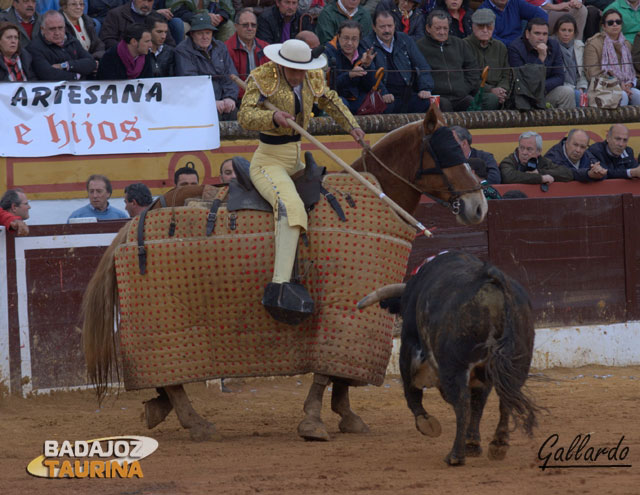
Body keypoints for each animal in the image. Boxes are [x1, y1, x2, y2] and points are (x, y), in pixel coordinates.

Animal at [82, 105, 488, 442]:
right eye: (447, 152)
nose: (479, 206)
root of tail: (141, 217)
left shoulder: (356, 312)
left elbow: (341, 371)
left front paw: (347, 415)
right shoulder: (341, 310)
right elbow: (325, 371)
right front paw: (314, 422)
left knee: (167, 383)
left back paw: (159, 408)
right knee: (171, 376)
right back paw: (195, 422)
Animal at [376, 254, 540, 466]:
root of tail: (492, 279)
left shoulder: (409, 346)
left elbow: (411, 390)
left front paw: (426, 423)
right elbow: (478, 403)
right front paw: (473, 444)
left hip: (455, 366)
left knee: (462, 403)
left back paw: (455, 455)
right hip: (516, 363)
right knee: (504, 399)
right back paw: (498, 445)